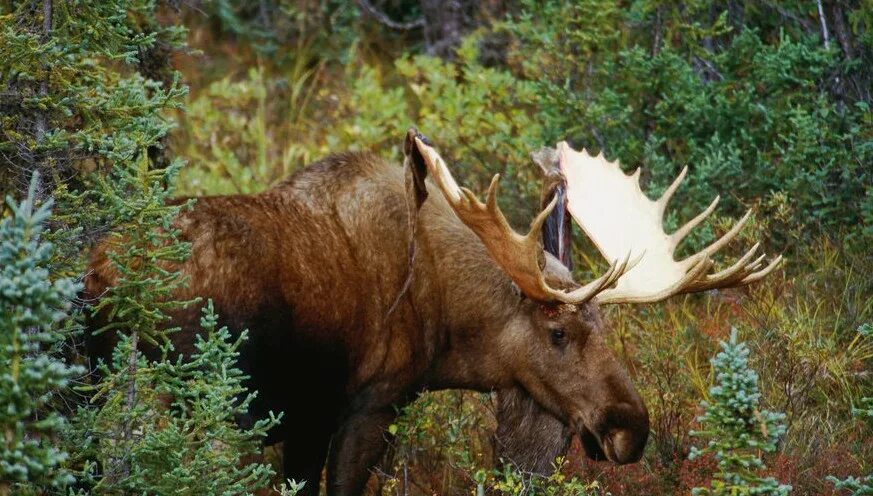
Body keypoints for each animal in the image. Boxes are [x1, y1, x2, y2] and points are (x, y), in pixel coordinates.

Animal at [85, 130, 780, 494]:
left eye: (605, 328)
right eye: (557, 331)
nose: (629, 429)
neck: (447, 327)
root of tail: (104, 274)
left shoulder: (308, 422)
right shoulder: (370, 405)